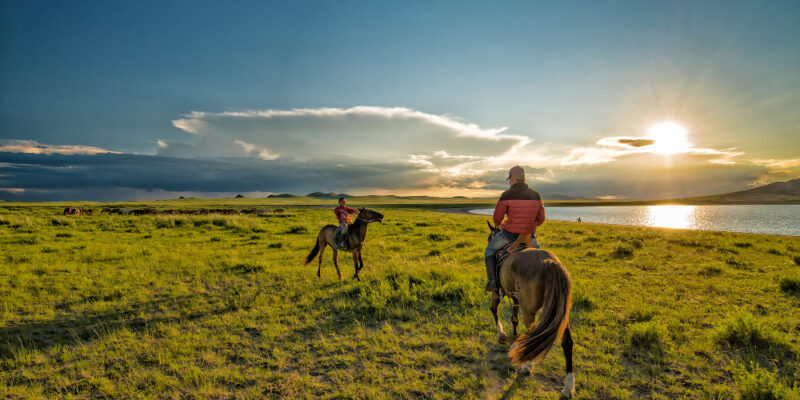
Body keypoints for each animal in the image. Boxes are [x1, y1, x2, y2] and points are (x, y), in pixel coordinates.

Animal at [484, 220, 572, 398]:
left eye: (490, 237)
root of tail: (550, 264)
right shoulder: (516, 299)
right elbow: (514, 319)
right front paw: (514, 341)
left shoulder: (498, 291)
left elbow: (494, 310)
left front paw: (502, 334)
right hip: (561, 313)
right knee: (567, 342)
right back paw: (568, 388)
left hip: (530, 312)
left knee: (535, 336)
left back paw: (526, 367)